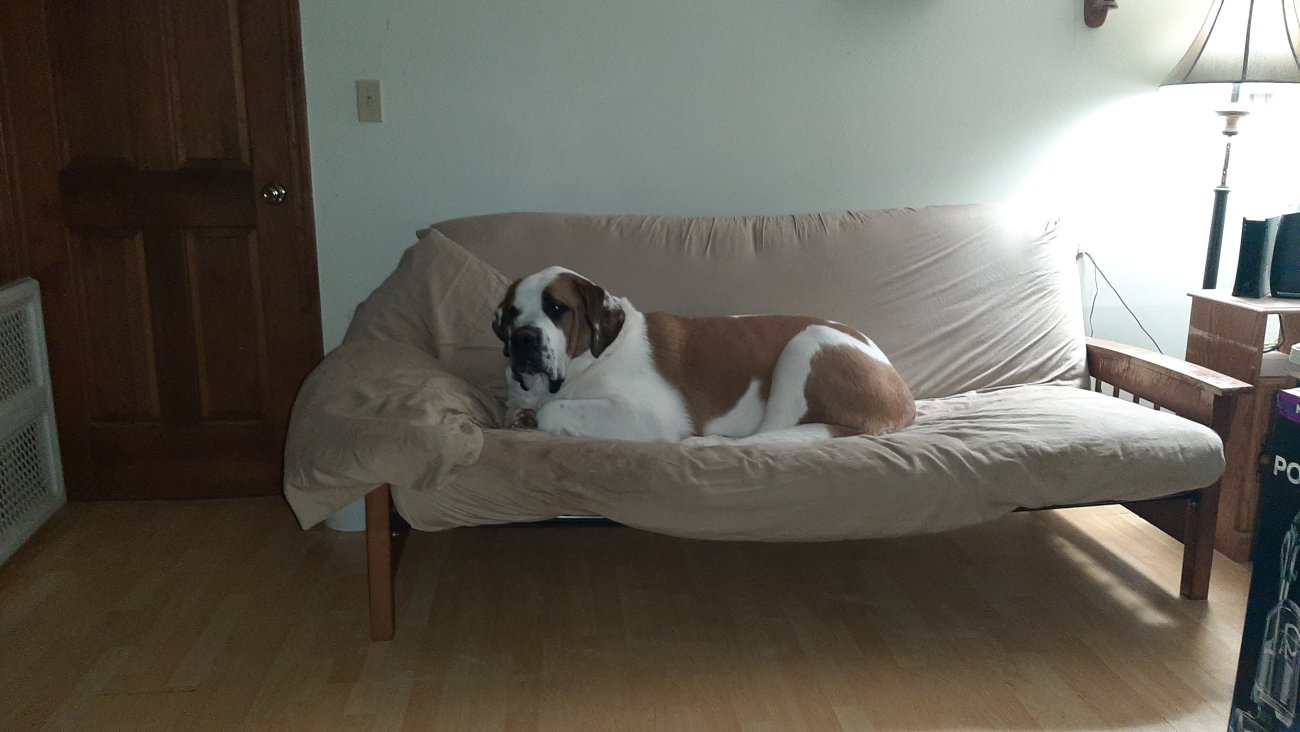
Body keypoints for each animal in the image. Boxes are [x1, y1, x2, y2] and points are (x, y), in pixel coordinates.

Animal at [492, 266, 915, 444]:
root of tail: (905, 401)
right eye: (512, 313)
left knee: (760, 438)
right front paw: (522, 415)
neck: (593, 357)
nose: (524, 338)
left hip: (805, 344)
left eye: (556, 308)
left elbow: (555, 410)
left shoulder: (648, 416)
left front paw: (539, 415)